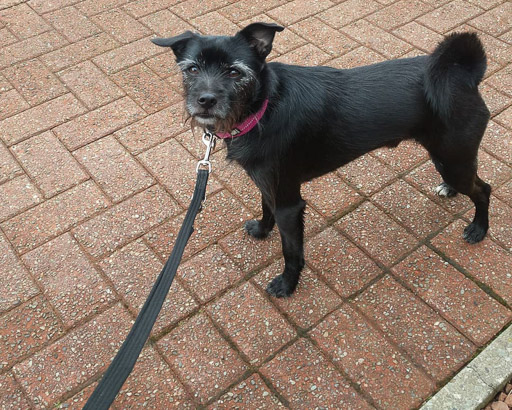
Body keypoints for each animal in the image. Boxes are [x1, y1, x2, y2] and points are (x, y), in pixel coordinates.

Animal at [152, 23, 492, 298]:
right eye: (192, 69)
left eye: (235, 72)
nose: (205, 101)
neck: (264, 108)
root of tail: (462, 73)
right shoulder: (268, 184)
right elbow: (265, 208)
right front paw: (262, 230)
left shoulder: (289, 204)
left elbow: (292, 251)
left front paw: (287, 284)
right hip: (447, 157)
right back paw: (449, 189)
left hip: (454, 158)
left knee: (483, 190)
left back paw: (479, 229)